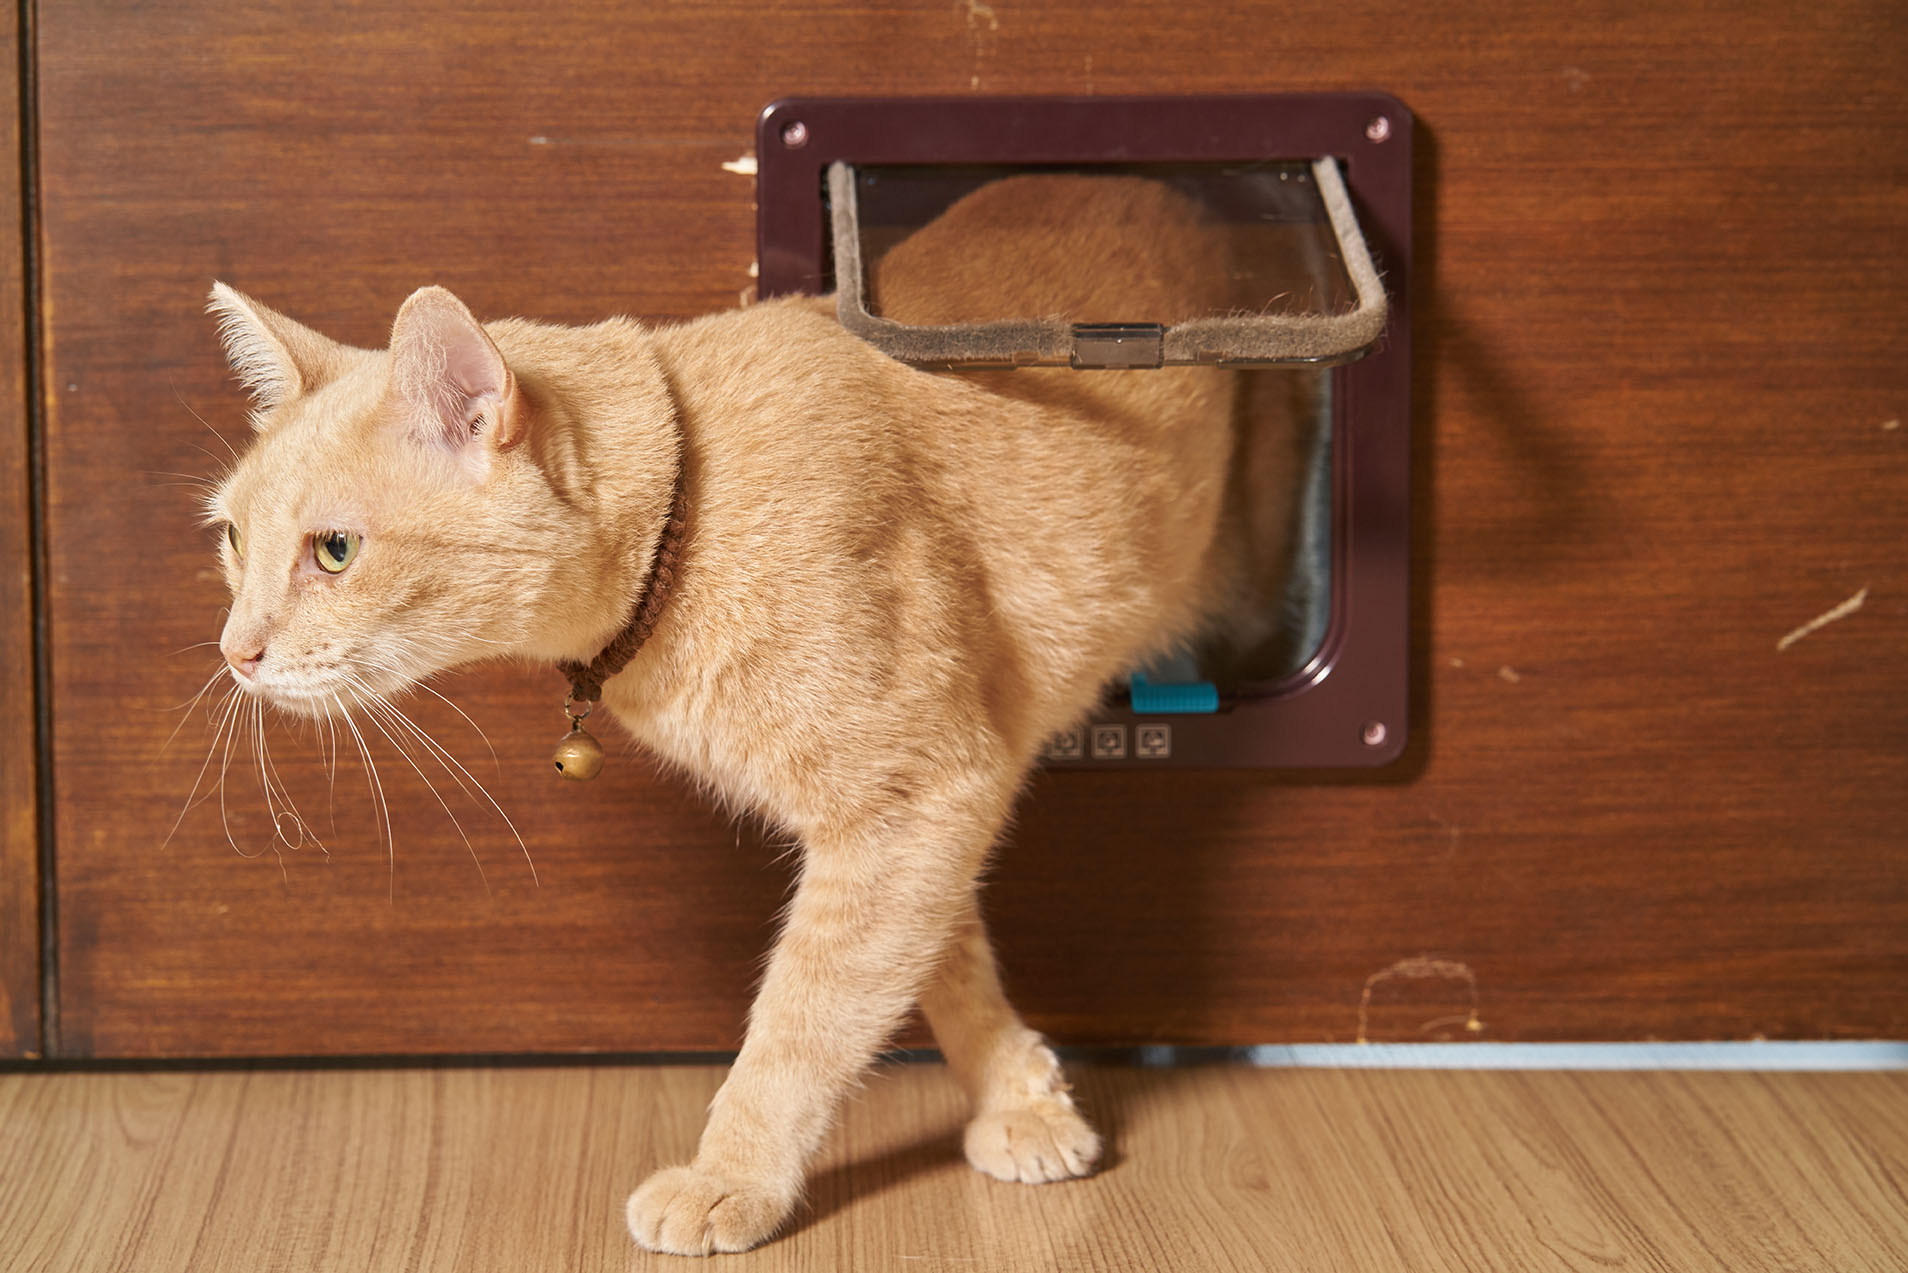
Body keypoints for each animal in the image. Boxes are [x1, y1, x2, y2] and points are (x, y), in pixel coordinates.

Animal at [205, 176, 1251, 1252]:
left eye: (335, 550)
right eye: (234, 539)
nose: (233, 654)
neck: (692, 507)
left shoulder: (916, 797)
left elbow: (803, 1018)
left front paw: (732, 1176)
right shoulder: (923, 816)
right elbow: (942, 959)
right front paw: (1024, 1096)